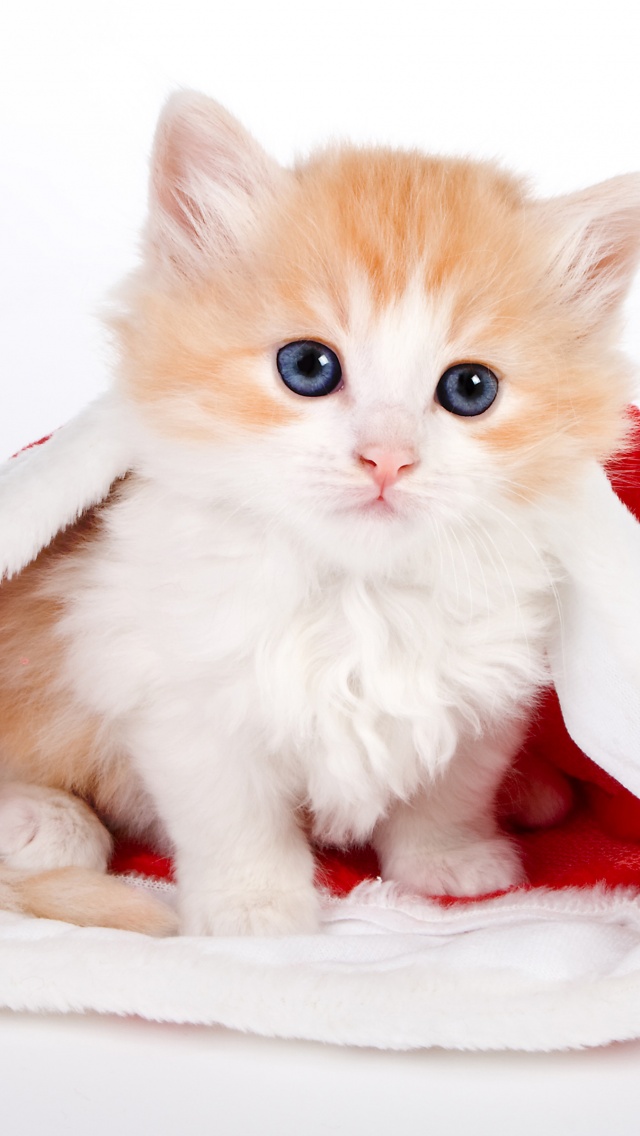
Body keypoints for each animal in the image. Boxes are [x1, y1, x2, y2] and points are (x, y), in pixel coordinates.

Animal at [0, 93, 636, 936]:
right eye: (307, 367)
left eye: (470, 388)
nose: (386, 459)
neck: (359, 596)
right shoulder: (177, 690)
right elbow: (234, 818)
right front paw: (254, 907)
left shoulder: (483, 696)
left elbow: (449, 788)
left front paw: (450, 859)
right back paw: (41, 822)